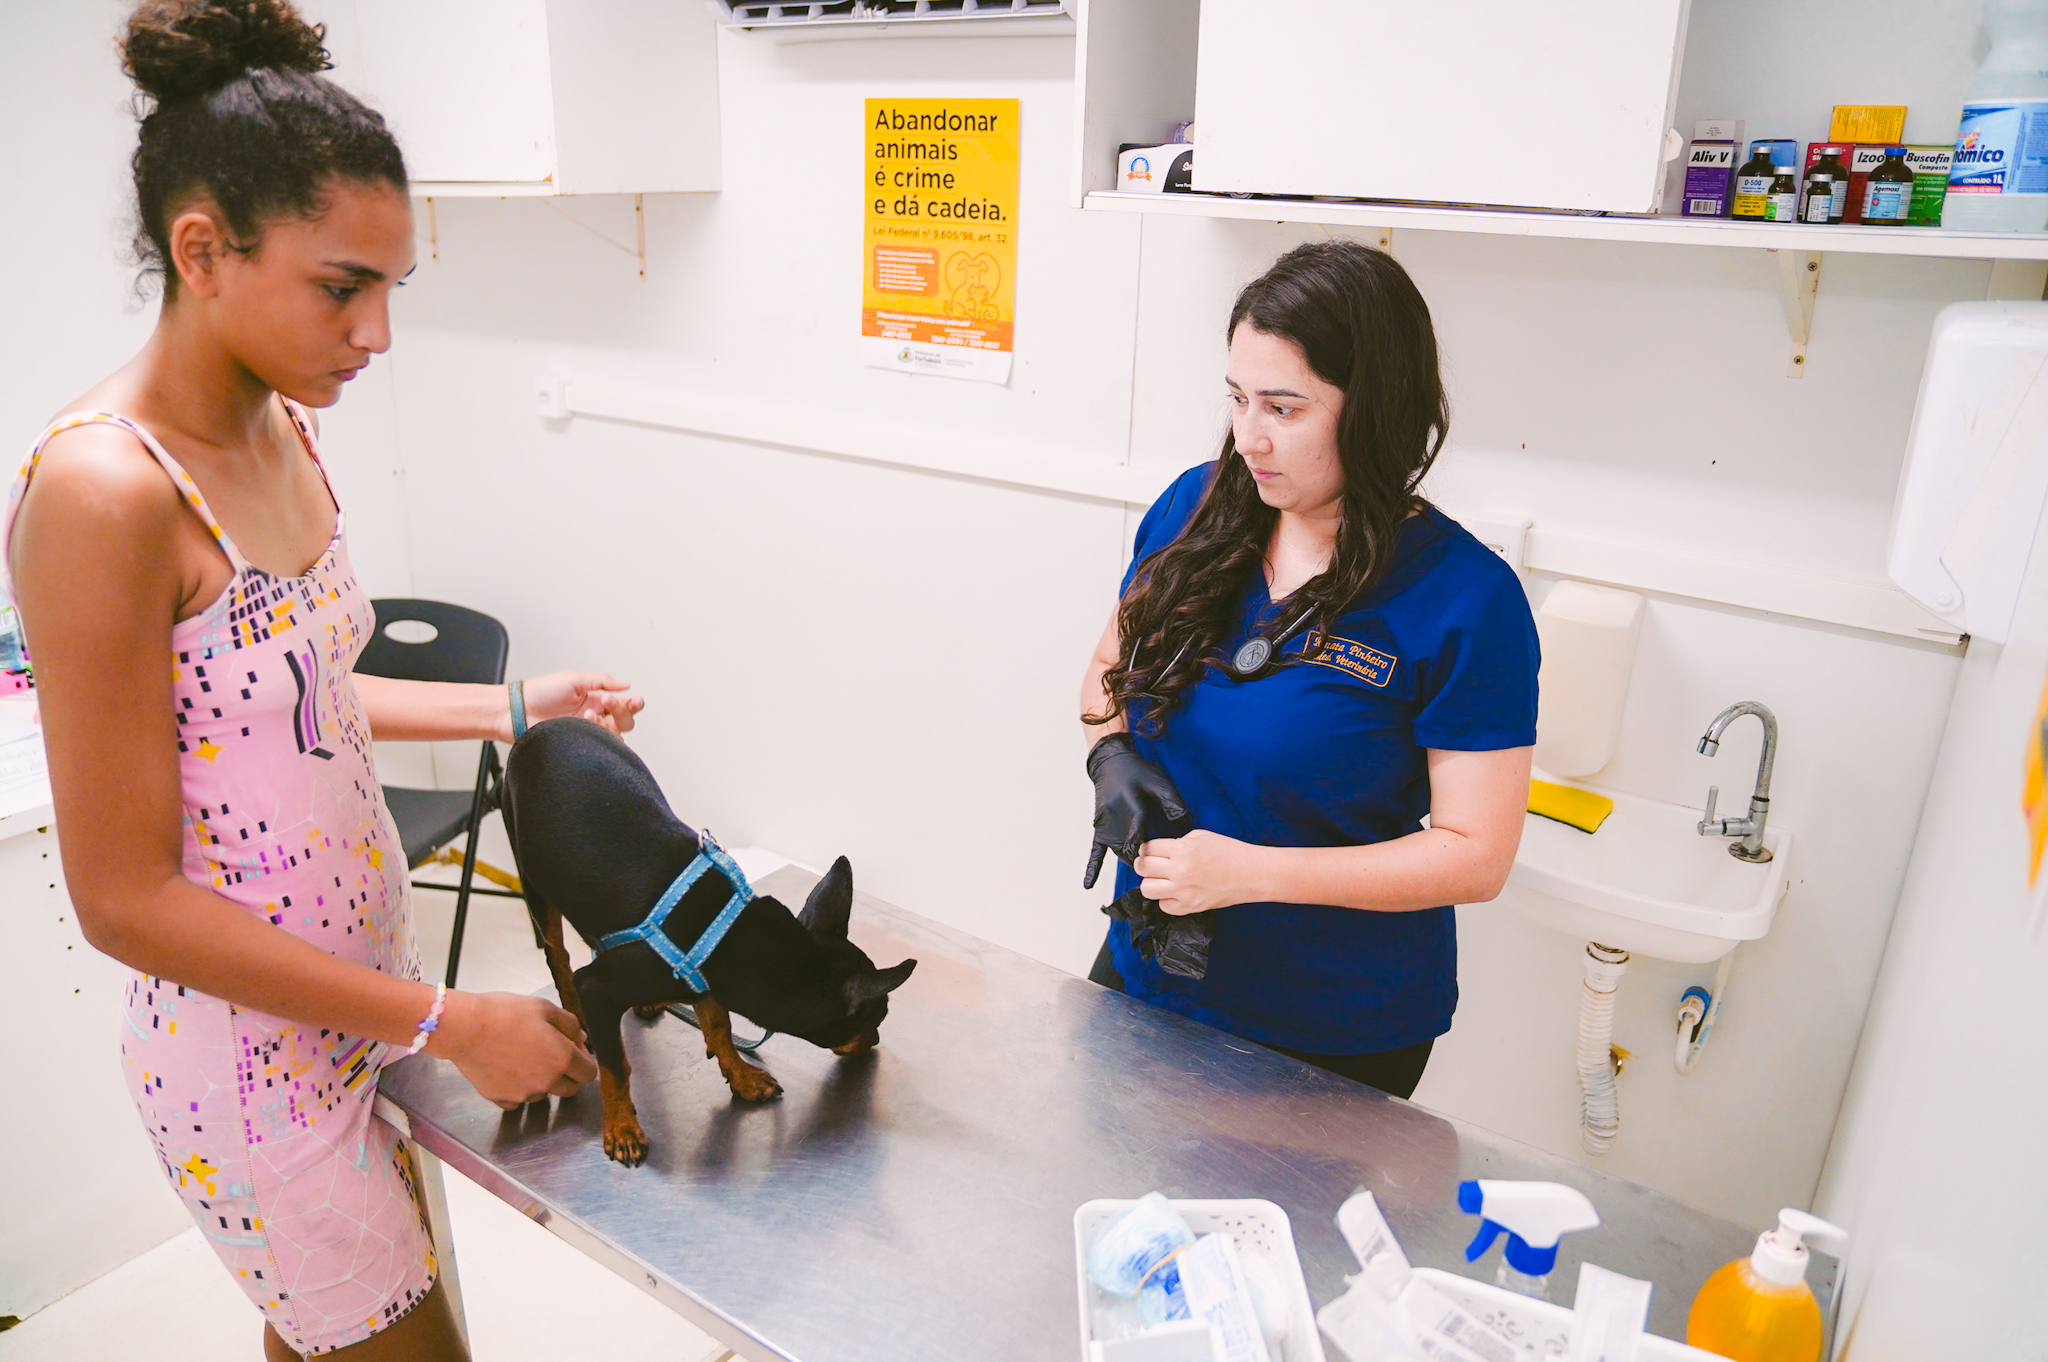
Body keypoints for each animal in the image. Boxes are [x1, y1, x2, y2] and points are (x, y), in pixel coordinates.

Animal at [499, 716, 917, 1163]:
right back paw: (577, 1012)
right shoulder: (597, 986)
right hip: (532, 877)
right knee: (558, 957)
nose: (875, 1042)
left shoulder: (703, 978)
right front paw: (621, 1125)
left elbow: (719, 1022)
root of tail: (541, 725)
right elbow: (616, 1066)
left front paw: (741, 1075)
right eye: (876, 1019)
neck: (735, 937)